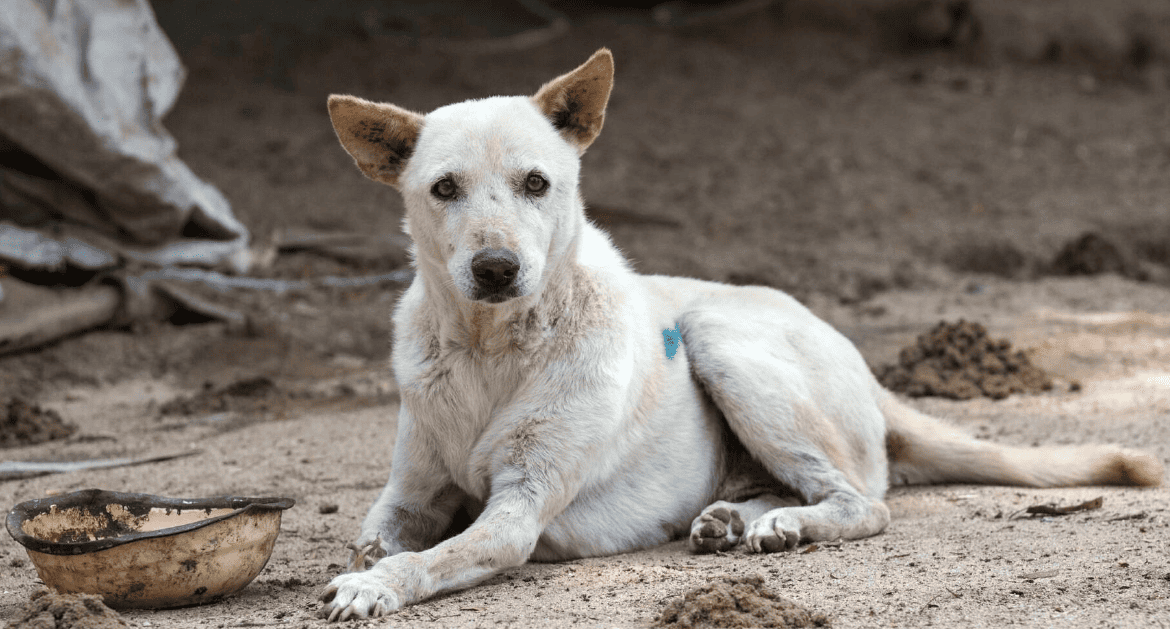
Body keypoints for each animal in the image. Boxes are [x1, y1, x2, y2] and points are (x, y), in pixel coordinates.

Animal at [315, 47, 1165, 617]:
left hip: (720, 338)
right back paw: (738, 518)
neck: (490, 348)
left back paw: (781, 523)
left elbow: (435, 555)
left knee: (863, 501)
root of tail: (869, 372)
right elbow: (381, 534)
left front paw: (374, 586)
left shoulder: (519, 511)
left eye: (535, 183)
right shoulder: (408, 493)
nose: (496, 268)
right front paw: (368, 562)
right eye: (444, 189)